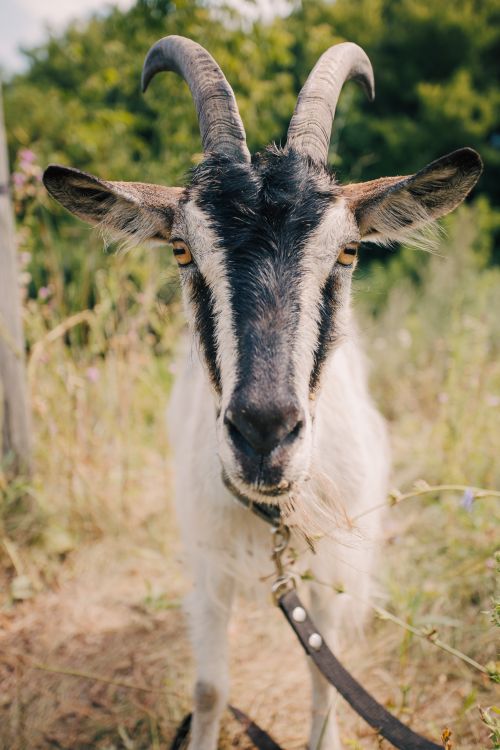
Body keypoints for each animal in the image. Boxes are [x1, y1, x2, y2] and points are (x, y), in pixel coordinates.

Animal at [43, 35, 482, 750]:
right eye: (182, 252)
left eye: (349, 252)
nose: (264, 432)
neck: (271, 517)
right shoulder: (206, 569)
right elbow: (209, 689)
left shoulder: (331, 581)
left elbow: (325, 688)